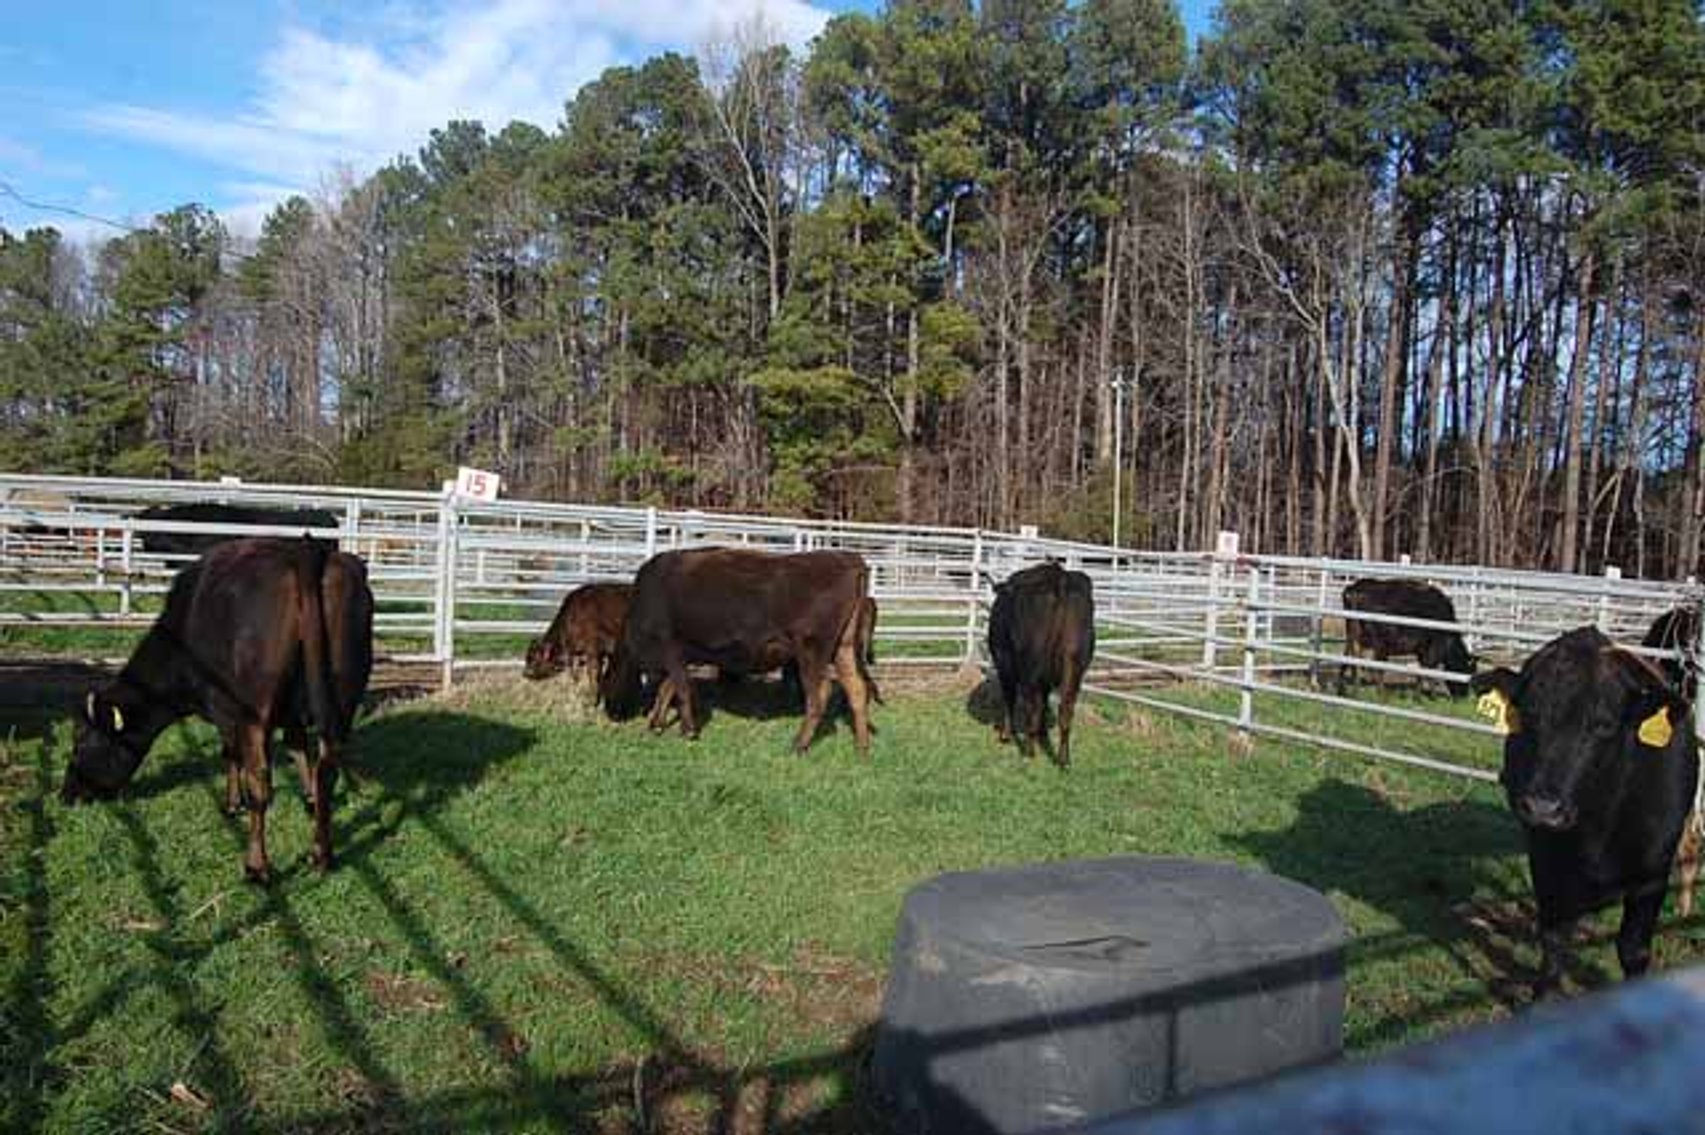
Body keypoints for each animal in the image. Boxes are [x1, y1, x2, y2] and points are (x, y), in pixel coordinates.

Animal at [62, 537, 374, 882]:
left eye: (80, 742)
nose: (66, 795)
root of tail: (305, 549)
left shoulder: (224, 710)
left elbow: (231, 754)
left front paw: (232, 804)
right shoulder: (291, 713)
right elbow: (297, 749)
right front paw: (308, 800)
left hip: (255, 711)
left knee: (260, 782)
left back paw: (256, 866)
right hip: (343, 699)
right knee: (327, 769)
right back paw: (321, 854)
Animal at [600, 547, 876, 756]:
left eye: (606, 680)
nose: (611, 713)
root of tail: (848, 558)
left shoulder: (672, 651)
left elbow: (680, 690)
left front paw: (688, 731)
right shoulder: (683, 657)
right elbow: (668, 689)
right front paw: (656, 725)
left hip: (812, 650)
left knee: (819, 693)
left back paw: (799, 745)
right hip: (842, 648)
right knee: (856, 688)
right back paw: (861, 747)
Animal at [986, 562, 1095, 769]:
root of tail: (1058, 575)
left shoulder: (1004, 662)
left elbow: (1009, 697)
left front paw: (1006, 735)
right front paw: (1042, 733)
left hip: (1030, 665)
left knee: (1032, 706)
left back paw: (1029, 751)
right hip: (1074, 664)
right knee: (1066, 709)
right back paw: (1064, 760)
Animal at [1337, 578, 1474, 697]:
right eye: (1467, 670)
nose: (1463, 696)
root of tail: (1356, 588)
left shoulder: (1421, 649)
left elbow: (1422, 670)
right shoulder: (1433, 649)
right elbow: (1429, 670)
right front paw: (1428, 696)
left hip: (1354, 637)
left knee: (1350, 660)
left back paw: (1348, 691)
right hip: (1380, 643)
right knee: (1377, 667)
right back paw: (1381, 693)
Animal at [1471, 626, 1698, 998]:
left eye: (1603, 725)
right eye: (1528, 716)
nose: (1543, 808)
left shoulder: (1652, 874)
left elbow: (1633, 950)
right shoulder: (1545, 862)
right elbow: (1553, 942)